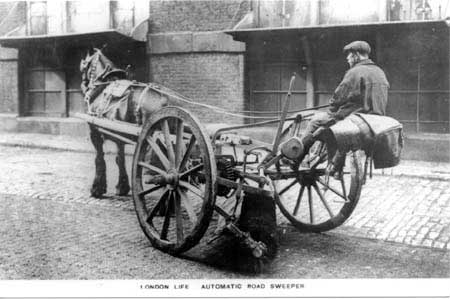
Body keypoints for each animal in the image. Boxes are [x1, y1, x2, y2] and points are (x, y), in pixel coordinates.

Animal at [79, 48, 167, 199]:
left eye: (84, 65)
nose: (84, 85)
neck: (104, 83)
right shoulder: (118, 136)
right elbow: (119, 158)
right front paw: (122, 186)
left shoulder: (94, 131)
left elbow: (99, 158)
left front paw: (97, 188)